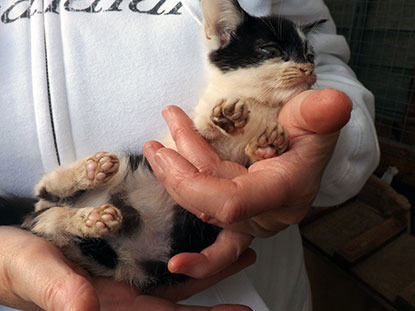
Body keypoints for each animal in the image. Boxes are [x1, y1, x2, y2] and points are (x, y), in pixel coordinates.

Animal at [13, 0, 324, 292]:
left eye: (310, 56)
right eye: (270, 50)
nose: (308, 69)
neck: (262, 106)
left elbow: (256, 155)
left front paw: (269, 145)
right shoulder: (178, 141)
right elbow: (201, 128)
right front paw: (225, 118)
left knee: (48, 221)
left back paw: (92, 217)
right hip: (120, 171)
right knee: (43, 199)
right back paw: (90, 173)